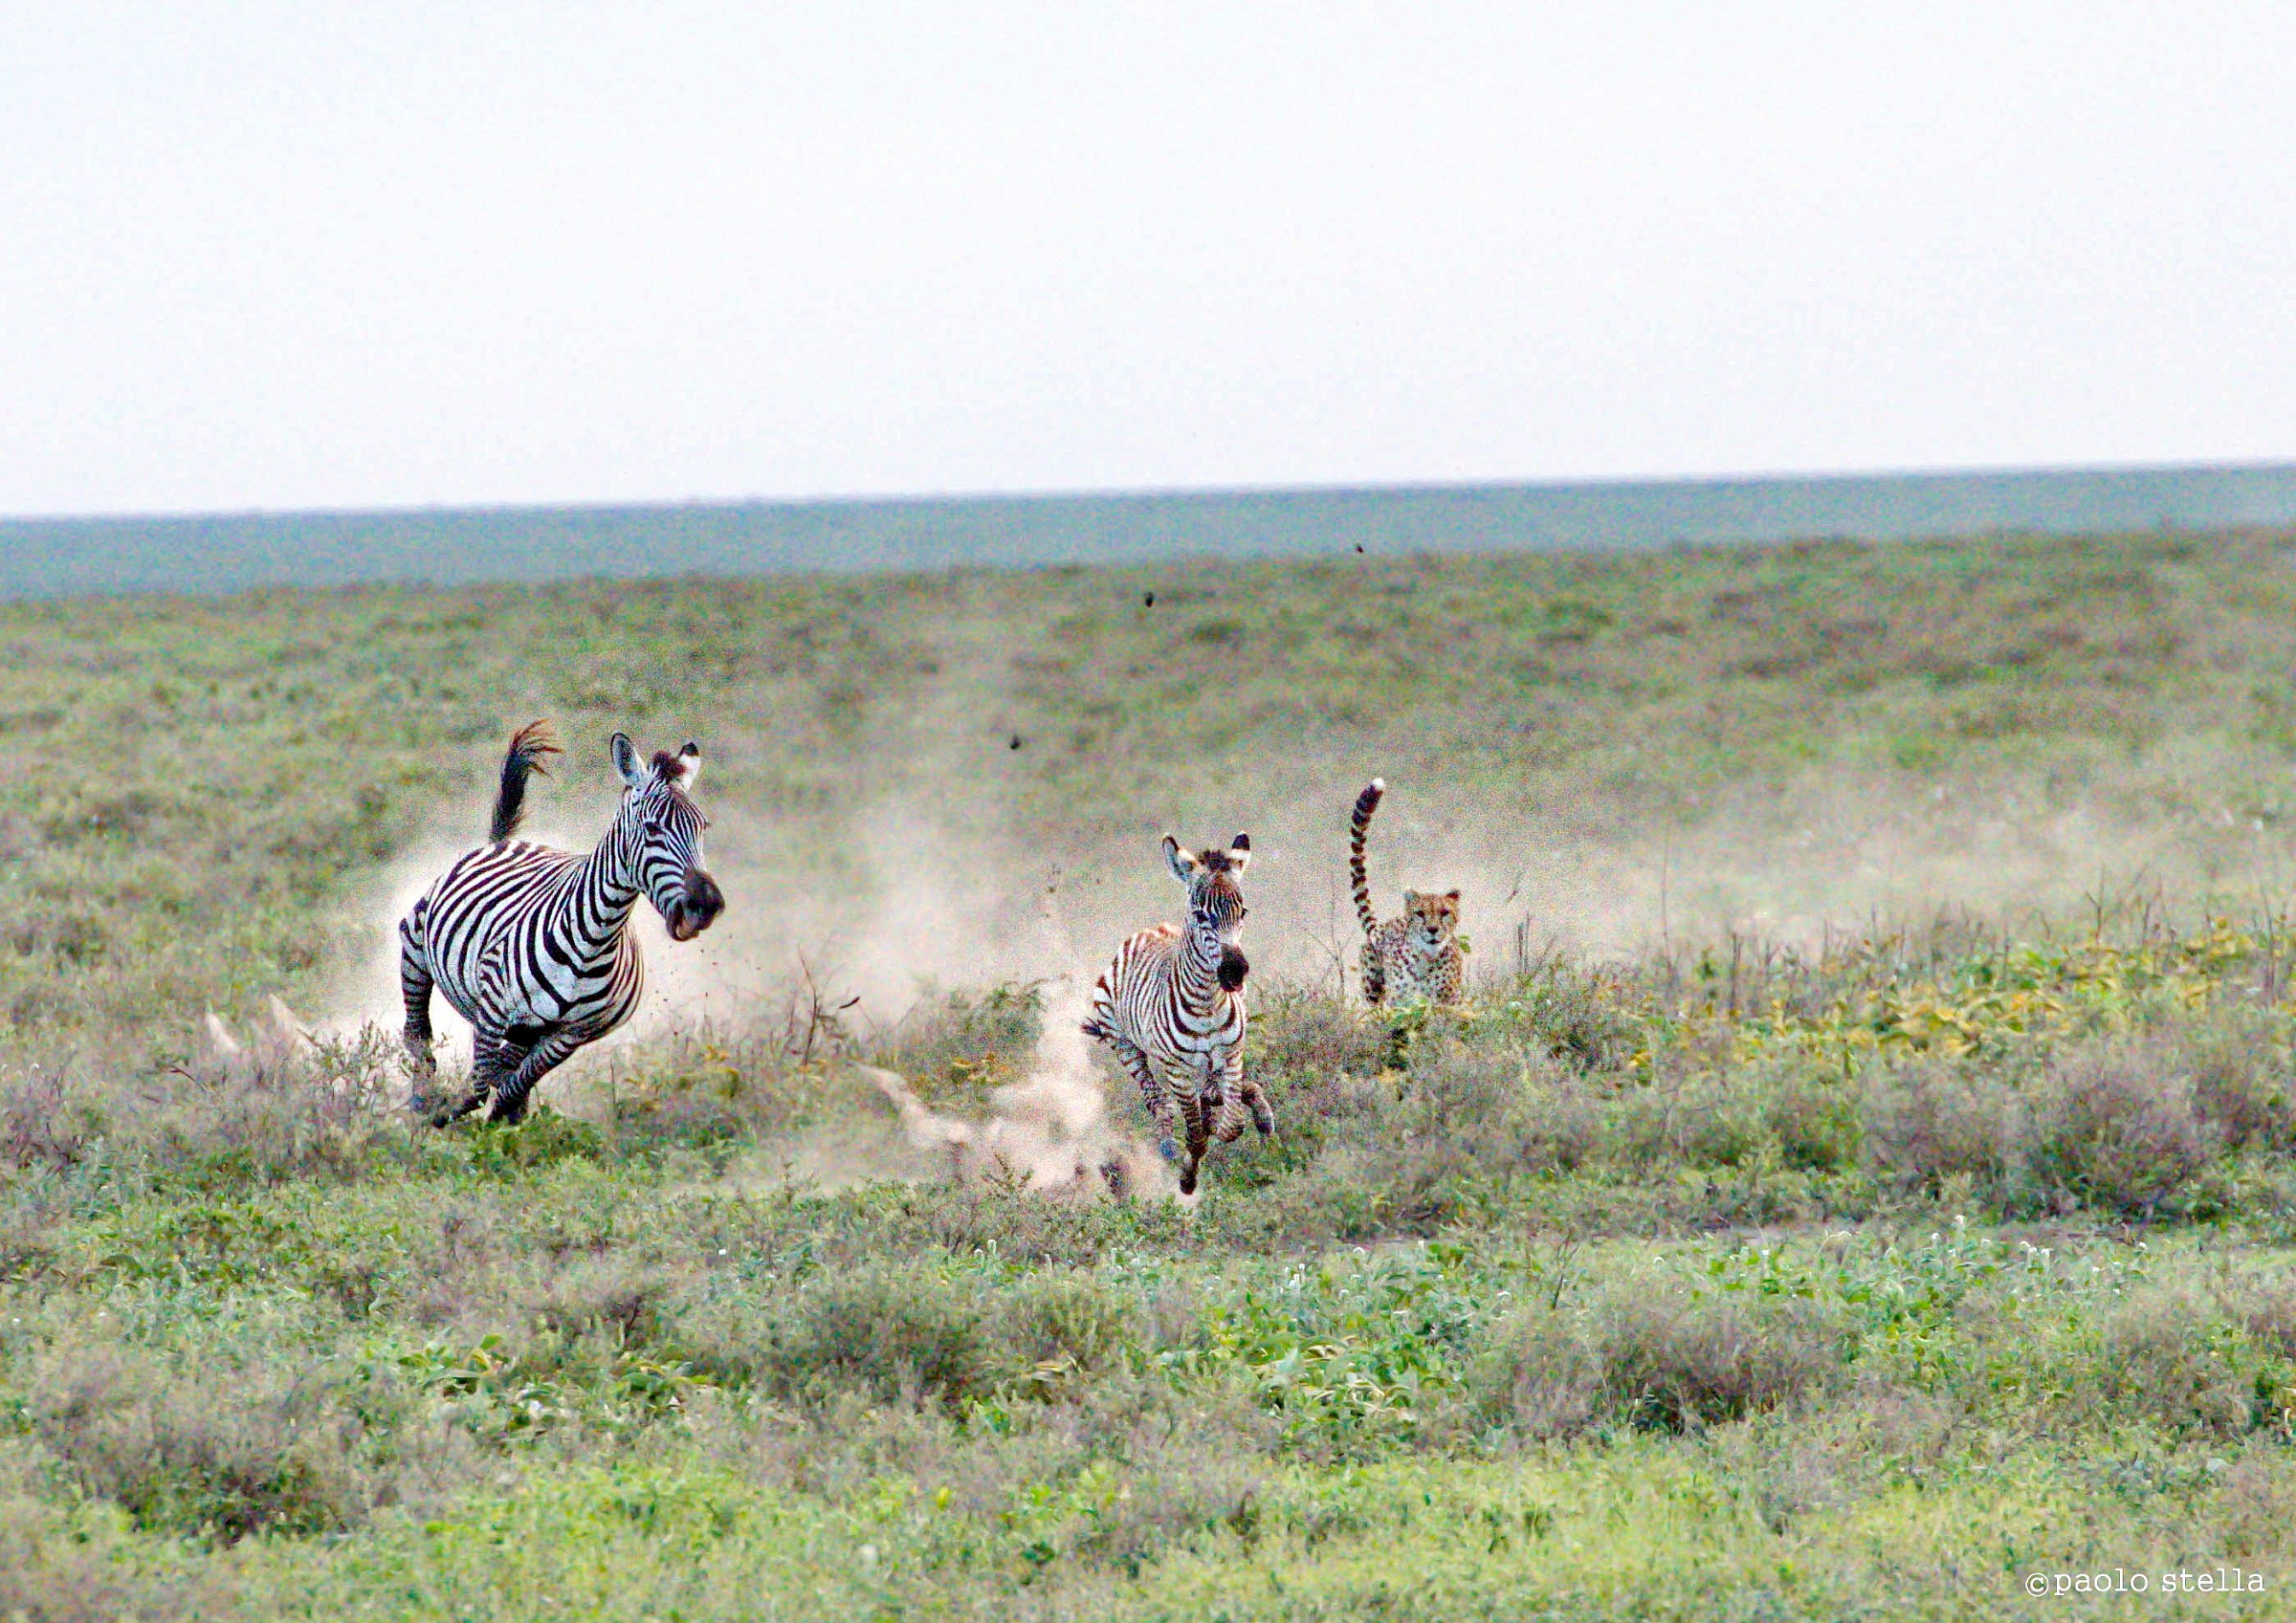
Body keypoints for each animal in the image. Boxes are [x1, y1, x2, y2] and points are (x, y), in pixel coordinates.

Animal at [398, 721, 726, 1125]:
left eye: (703, 827)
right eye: (652, 829)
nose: (706, 906)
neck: (595, 938)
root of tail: (505, 841)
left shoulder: (569, 1035)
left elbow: (512, 1087)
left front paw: (502, 1127)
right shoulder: (492, 1009)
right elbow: (478, 1087)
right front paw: (445, 1116)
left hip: (528, 1031)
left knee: (505, 1066)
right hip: (415, 947)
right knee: (417, 1033)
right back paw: (423, 1099)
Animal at [1081, 833, 1273, 1195]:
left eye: (1242, 911)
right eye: (1201, 915)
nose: (1235, 972)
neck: (1208, 1005)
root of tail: (1150, 929)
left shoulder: (1231, 1055)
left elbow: (1232, 1123)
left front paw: (1237, 1119)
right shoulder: (1177, 1070)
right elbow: (1196, 1136)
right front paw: (1187, 1177)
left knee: (1207, 1094)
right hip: (1124, 1044)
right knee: (1155, 1097)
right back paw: (1169, 1140)